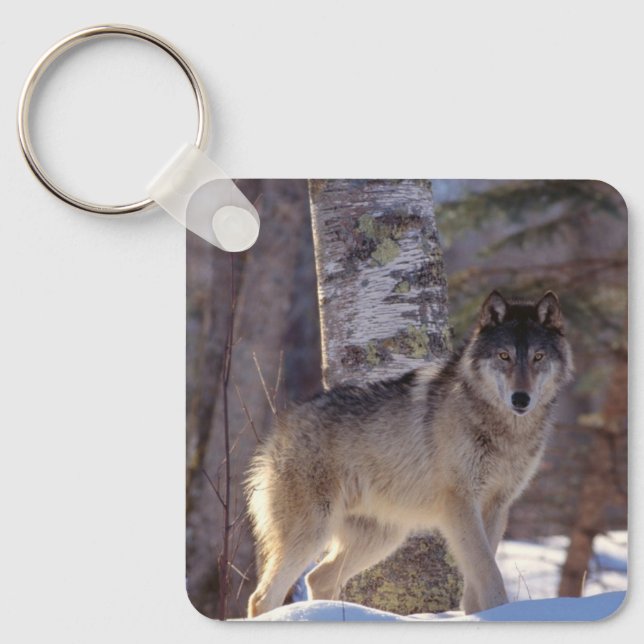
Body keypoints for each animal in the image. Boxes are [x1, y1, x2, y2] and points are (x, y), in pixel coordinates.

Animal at [245, 290, 573, 617]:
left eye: (538, 357)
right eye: (504, 356)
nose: (521, 399)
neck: (504, 431)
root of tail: (280, 428)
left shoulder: (496, 507)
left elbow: (479, 576)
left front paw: (479, 617)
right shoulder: (460, 504)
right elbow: (489, 572)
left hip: (382, 538)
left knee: (317, 578)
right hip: (313, 532)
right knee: (262, 597)